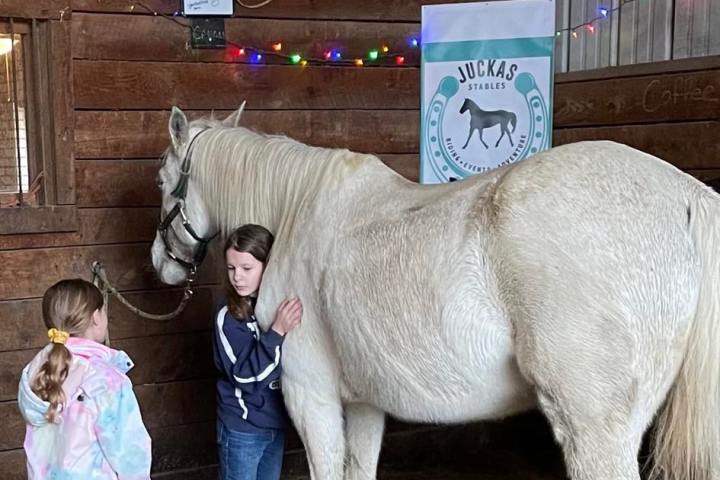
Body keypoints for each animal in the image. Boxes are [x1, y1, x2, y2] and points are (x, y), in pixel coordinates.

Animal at [151, 105, 720, 480]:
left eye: (161, 180)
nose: (162, 265)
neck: (298, 211)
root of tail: (688, 194)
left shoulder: (308, 392)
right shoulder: (364, 401)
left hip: (595, 432)